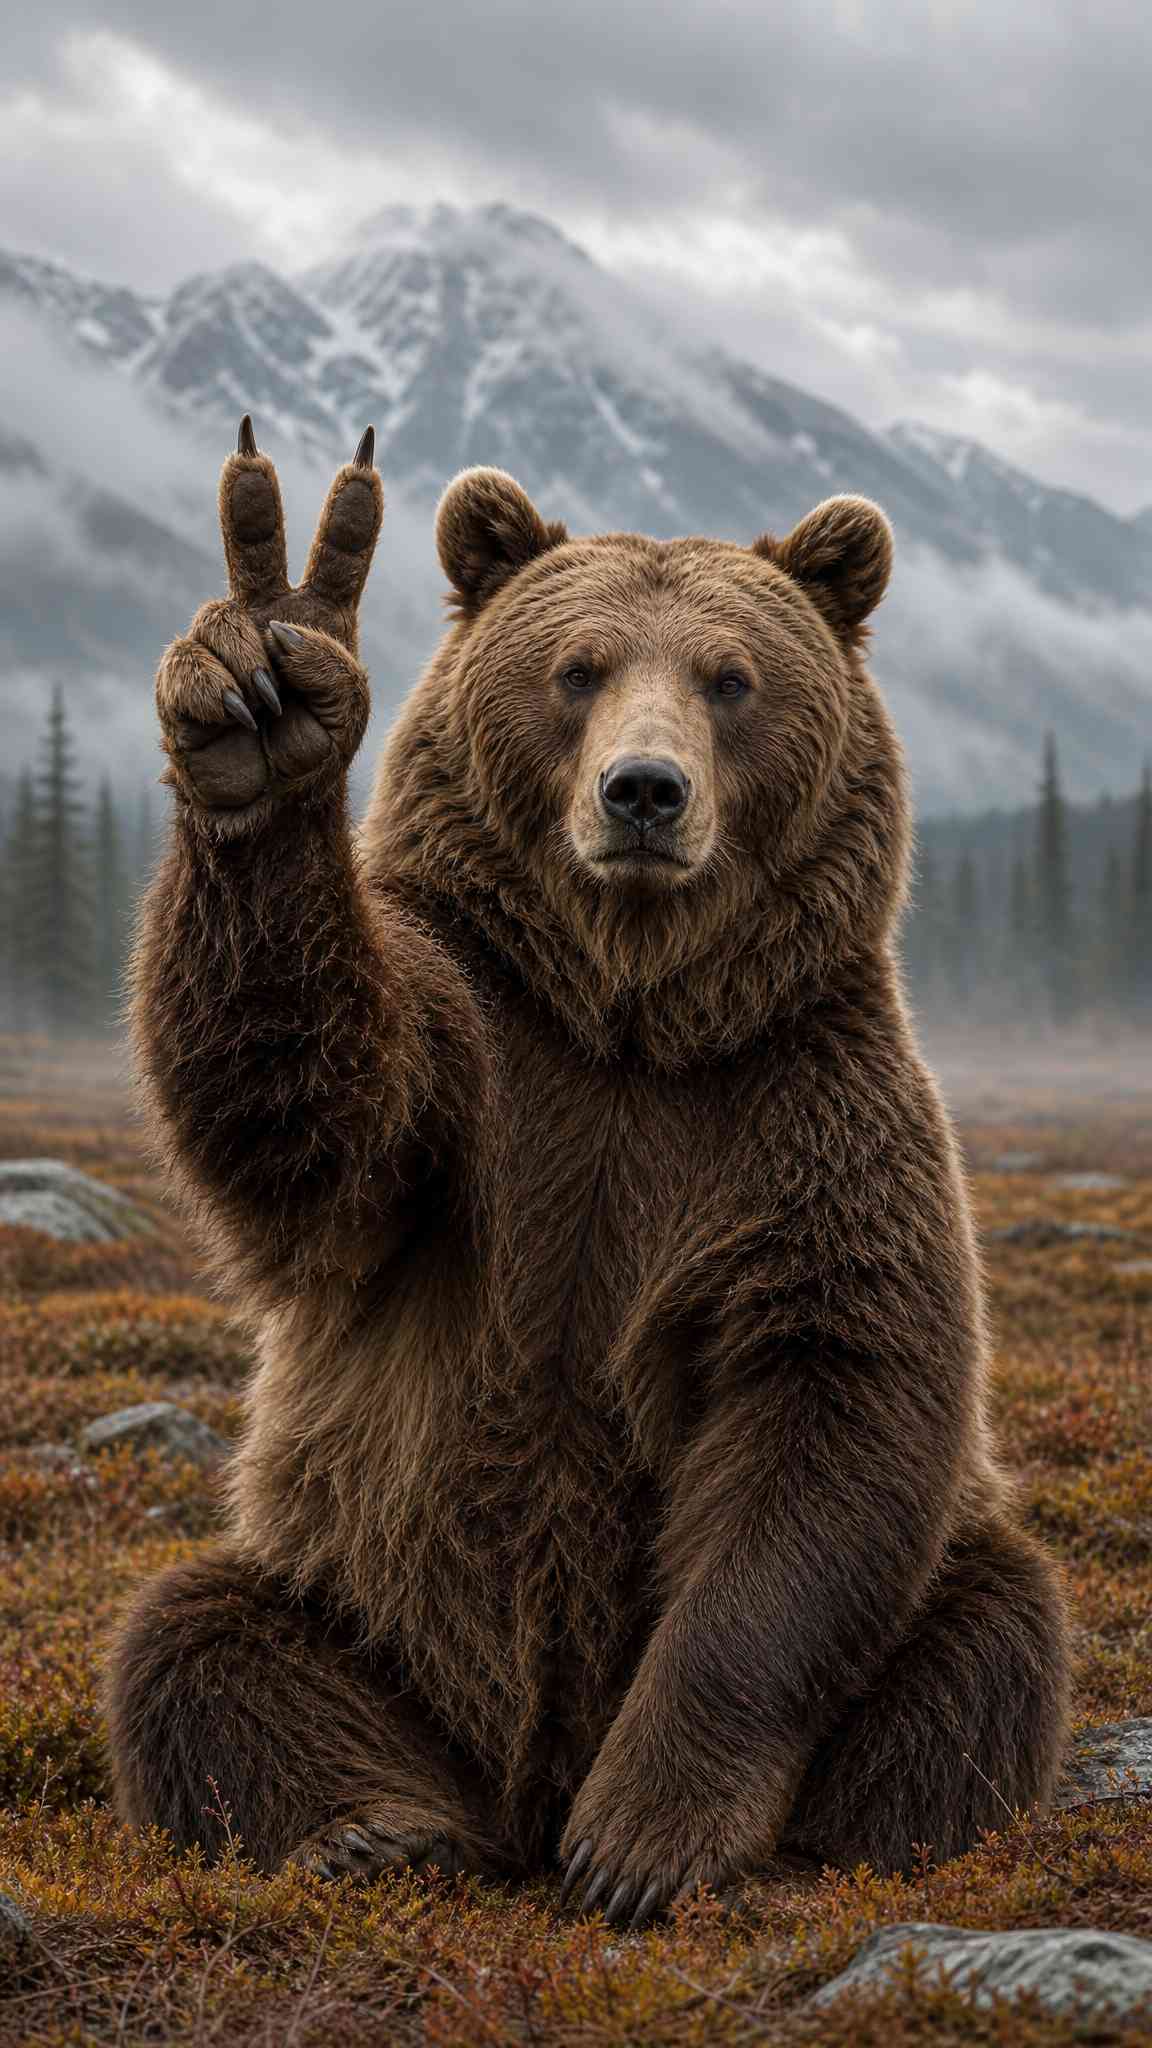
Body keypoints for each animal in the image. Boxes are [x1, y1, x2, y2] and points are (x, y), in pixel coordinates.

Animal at [106, 417, 1071, 1926]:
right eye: (578, 667)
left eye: (731, 678)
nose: (644, 791)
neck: (631, 1015)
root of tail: (517, 1794)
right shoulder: (480, 1076)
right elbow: (301, 1106)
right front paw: (273, 701)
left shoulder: (805, 1114)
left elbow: (833, 1406)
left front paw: (641, 1840)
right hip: (361, 1603)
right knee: (195, 1640)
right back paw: (379, 1832)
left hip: (930, 1593)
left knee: (991, 1636)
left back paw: (813, 1851)